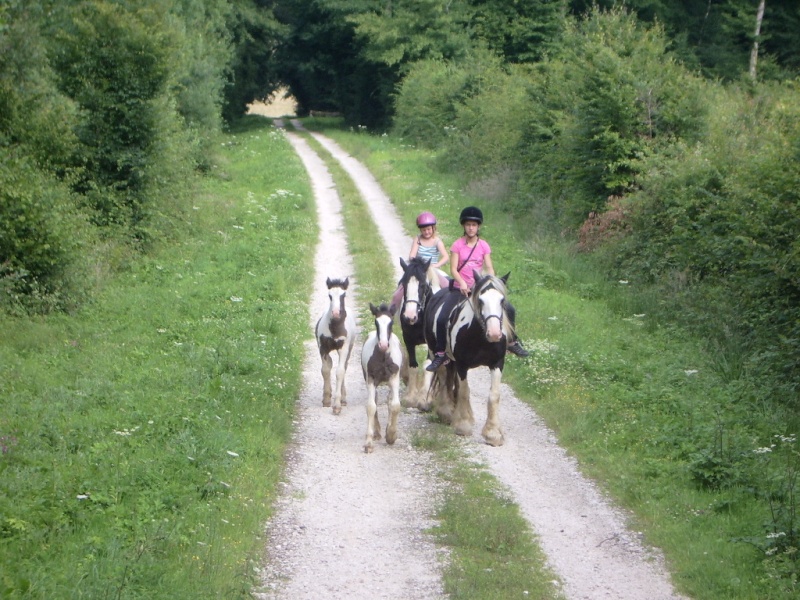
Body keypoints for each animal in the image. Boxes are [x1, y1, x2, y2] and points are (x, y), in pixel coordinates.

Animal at [316, 276, 356, 412]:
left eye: (343, 295)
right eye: (330, 296)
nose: (336, 313)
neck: (335, 328)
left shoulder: (343, 348)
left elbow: (340, 372)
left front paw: (337, 405)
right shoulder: (323, 348)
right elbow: (325, 370)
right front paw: (327, 400)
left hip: (349, 349)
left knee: (344, 367)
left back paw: (343, 399)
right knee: (330, 364)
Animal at [360, 302, 404, 452]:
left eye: (391, 323)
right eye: (376, 322)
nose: (383, 345)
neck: (384, 356)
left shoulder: (394, 377)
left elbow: (395, 405)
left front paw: (391, 435)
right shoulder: (371, 379)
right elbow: (371, 406)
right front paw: (368, 443)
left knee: (389, 400)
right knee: (376, 398)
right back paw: (377, 432)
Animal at [424, 272, 512, 446]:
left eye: (502, 300)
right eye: (481, 300)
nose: (494, 333)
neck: (479, 337)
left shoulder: (497, 363)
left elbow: (494, 395)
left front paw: (493, 433)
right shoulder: (462, 365)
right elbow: (465, 391)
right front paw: (463, 426)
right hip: (436, 354)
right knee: (444, 379)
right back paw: (447, 412)